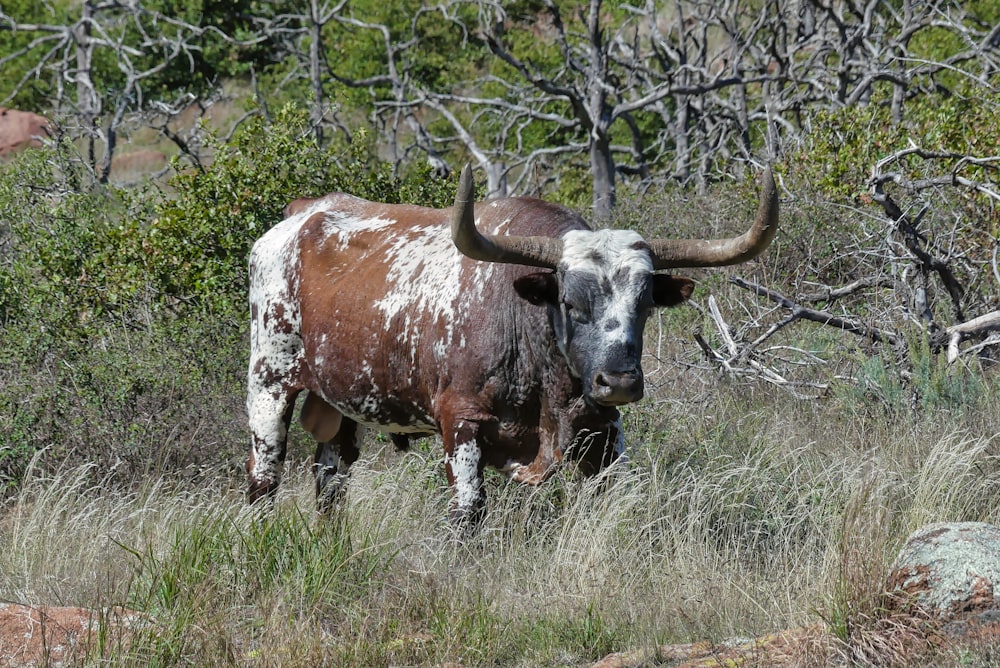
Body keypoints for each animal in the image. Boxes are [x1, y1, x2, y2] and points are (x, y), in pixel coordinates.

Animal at [248, 164, 780, 524]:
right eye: (569, 302)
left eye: (646, 303)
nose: (619, 381)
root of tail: (302, 213)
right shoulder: (460, 422)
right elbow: (469, 512)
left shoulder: (603, 431)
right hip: (268, 384)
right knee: (263, 478)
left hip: (340, 406)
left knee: (330, 482)